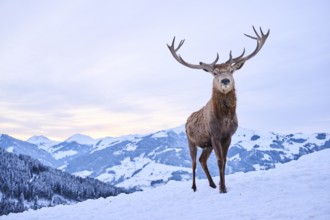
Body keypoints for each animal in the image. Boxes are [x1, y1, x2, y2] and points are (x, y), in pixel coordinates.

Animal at [166, 26, 270, 193]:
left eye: (231, 70)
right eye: (214, 73)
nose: (225, 81)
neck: (225, 119)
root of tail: (187, 120)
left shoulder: (227, 136)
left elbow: (225, 161)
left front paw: (223, 185)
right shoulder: (214, 135)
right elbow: (220, 161)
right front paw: (222, 189)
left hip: (206, 145)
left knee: (202, 160)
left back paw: (212, 184)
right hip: (190, 140)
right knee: (194, 162)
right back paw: (194, 187)